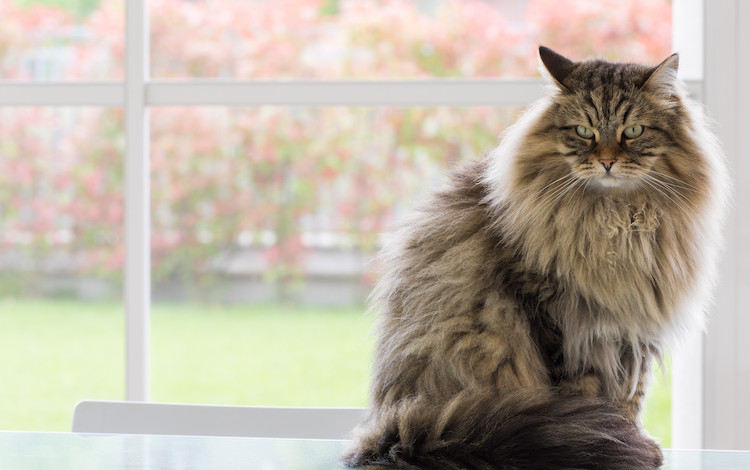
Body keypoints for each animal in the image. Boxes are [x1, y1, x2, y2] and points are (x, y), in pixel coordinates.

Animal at [346, 45, 728, 470]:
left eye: (633, 132)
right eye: (583, 132)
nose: (607, 161)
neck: (616, 224)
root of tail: (387, 433)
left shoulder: (634, 325)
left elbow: (630, 395)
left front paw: (631, 439)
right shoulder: (564, 323)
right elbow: (590, 397)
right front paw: (607, 439)